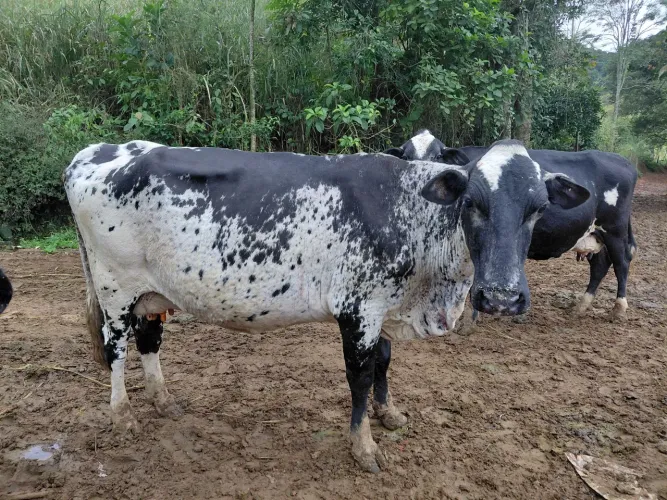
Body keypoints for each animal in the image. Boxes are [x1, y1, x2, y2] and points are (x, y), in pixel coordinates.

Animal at [64, 139, 589, 473]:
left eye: (539, 207)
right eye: (473, 203)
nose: (500, 296)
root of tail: (93, 153)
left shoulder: (383, 310)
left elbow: (384, 363)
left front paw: (389, 414)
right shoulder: (358, 310)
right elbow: (359, 376)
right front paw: (364, 446)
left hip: (151, 293)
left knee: (149, 340)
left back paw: (163, 400)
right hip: (114, 288)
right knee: (116, 350)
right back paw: (123, 415)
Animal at [386, 130, 637, 321]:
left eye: (439, 155)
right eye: (406, 156)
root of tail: (623, 161)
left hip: (615, 230)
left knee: (621, 262)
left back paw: (619, 307)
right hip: (596, 234)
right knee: (600, 265)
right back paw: (582, 305)